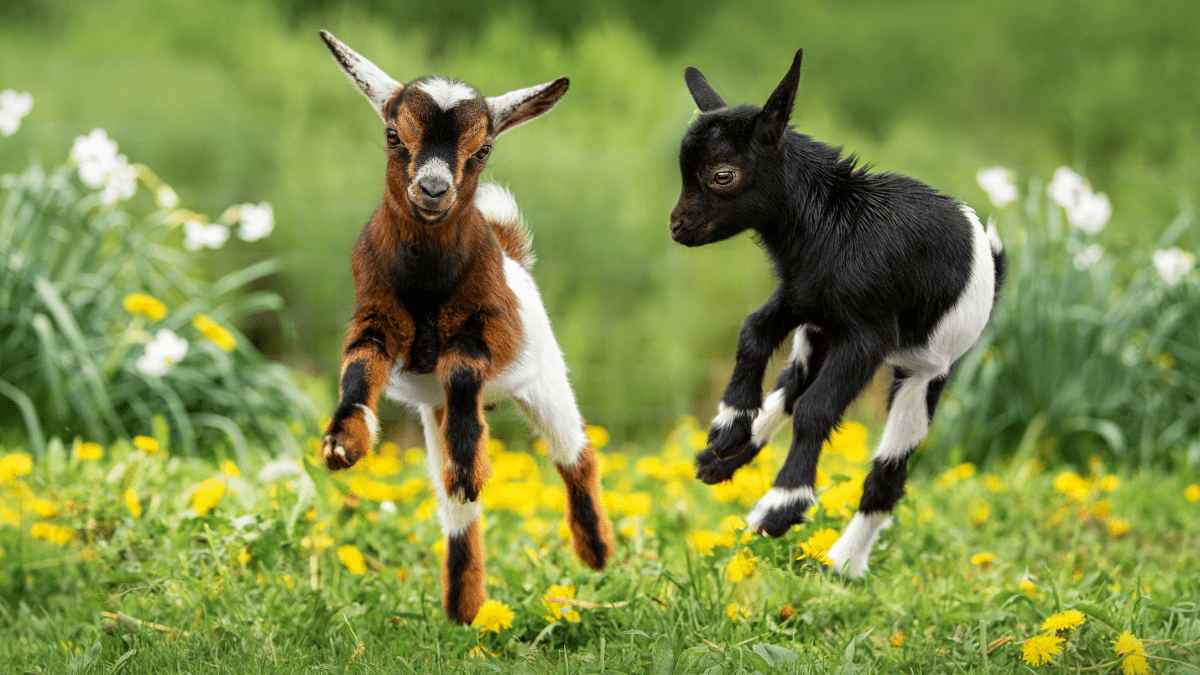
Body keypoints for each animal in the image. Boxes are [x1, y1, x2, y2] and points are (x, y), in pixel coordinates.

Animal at [317, 31, 614, 624]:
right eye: (392, 134)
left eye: (483, 149)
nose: (433, 190)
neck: (430, 279)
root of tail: (511, 251)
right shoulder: (376, 315)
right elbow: (358, 367)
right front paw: (344, 443)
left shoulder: (491, 326)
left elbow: (460, 365)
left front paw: (472, 467)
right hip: (431, 415)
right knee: (456, 512)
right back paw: (465, 607)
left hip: (547, 380)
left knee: (576, 455)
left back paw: (594, 552)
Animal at [670, 50, 1005, 578]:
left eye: (722, 174)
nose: (677, 227)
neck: (835, 223)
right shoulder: (801, 298)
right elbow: (752, 333)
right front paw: (727, 425)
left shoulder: (867, 336)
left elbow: (817, 410)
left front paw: (780, 509)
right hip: (817, 336)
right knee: (788, 390)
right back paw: (721, 460)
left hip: (922, 373)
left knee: (886, 473)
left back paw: (844, 562)